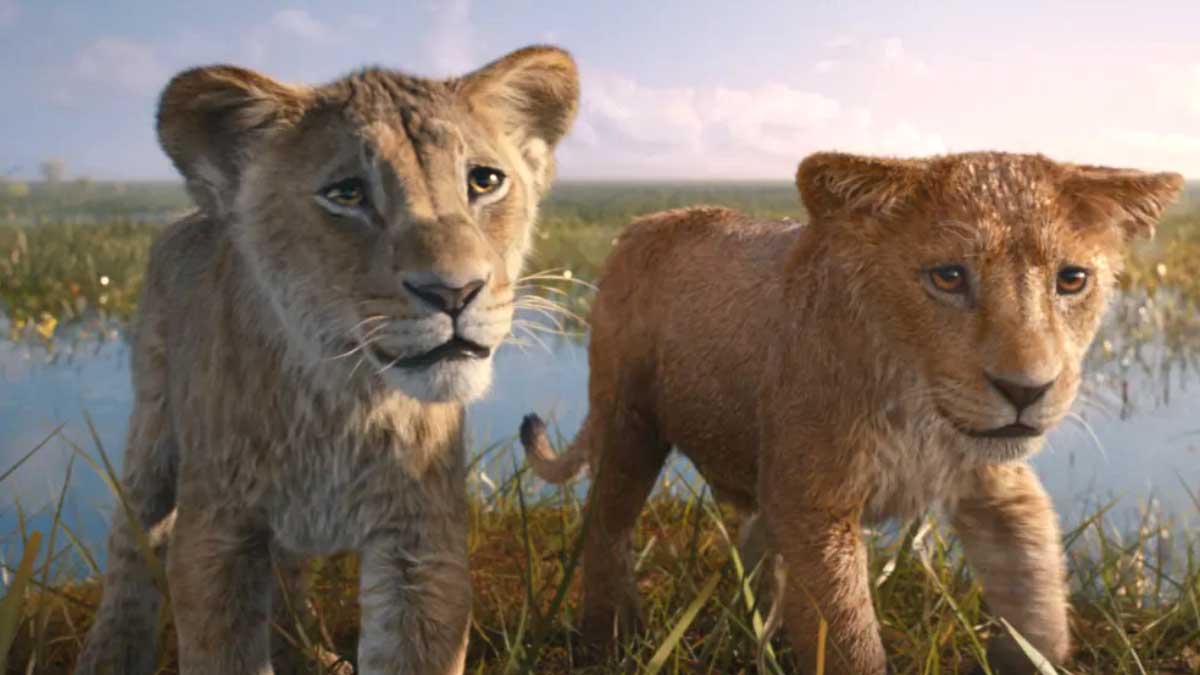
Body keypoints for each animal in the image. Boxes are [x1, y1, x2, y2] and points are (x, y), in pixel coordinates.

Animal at [74, 46, 578, 675]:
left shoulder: (420, 543)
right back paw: (109, 654)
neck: (343, 398)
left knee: (288, 572)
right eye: (347, 194)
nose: (455, 292)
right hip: (152, 422)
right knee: (131, 536)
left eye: (484, 181)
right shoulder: (217, 535)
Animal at [519, 152, 1183, 673]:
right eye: (948, 277)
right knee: (607, 525)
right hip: (628, 420)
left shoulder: (997, 485)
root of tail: (642, 223)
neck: (917, 408)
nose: (1026, 390)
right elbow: (848, 639)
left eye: (1071, 280)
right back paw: (608, 641)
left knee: (756, 546)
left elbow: (1038, 594)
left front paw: (1026, 655)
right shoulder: (818, 505)